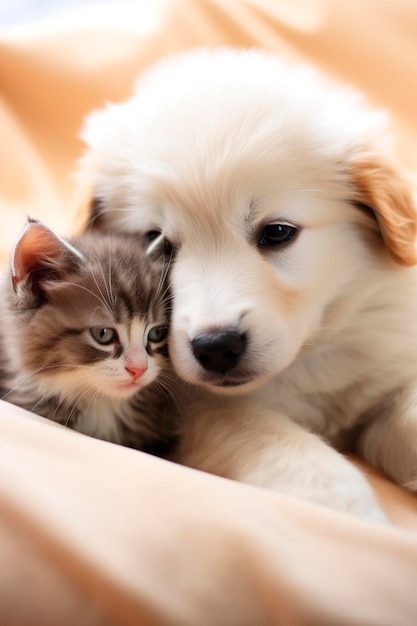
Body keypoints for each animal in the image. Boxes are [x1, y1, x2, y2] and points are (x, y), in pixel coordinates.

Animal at [80, 48, 416, 520]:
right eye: (155, 242)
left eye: (277, 233)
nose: (215, 347)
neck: (305, 360)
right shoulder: (205, 409)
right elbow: (284, 445)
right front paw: (349, 514)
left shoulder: (388, 369)